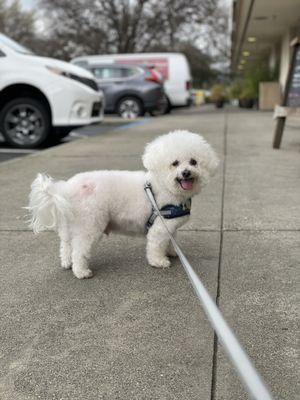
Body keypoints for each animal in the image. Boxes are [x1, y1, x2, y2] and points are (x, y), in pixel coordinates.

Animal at [27, 130, 218, 278]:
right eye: (175, 163)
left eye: (193, 162)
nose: (186, 172)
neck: (164, 185)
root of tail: (67, 188)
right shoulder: (160, 227)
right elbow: (156, 246)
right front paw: (159, 261)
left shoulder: (170, 227)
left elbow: (171, 241)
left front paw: (172, 252)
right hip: (90, 224)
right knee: (79, 249)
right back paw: (81, 271)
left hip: (70, 224)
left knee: (66, 245)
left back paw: (67, 263)